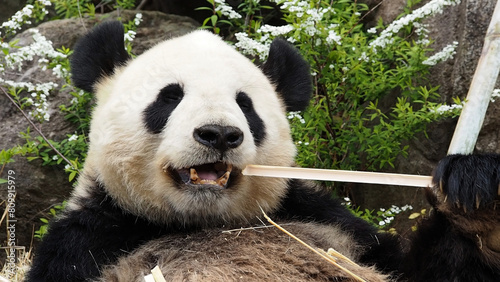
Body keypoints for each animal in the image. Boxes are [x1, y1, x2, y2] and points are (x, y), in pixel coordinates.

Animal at [27, 20, 500, 280]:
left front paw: (476, 199)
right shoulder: (91, 241)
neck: (206, 223)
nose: (219, 134)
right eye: (169, 97)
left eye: (246, 106)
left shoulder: (325, 220)